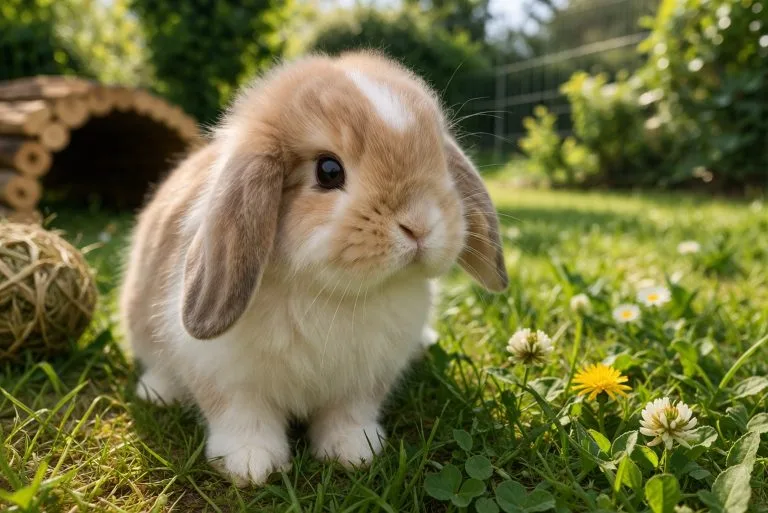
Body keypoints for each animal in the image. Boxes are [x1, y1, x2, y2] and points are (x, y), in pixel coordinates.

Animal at [119, 51, 508, 486]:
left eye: (440, 161)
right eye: (328, 170)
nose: (420, 224)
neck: (334, 295)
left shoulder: (362, 383)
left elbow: (348, 416)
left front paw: (354, 452)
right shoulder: (227, 377)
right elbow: (241, 417)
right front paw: (251, 464)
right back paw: (157, 392)